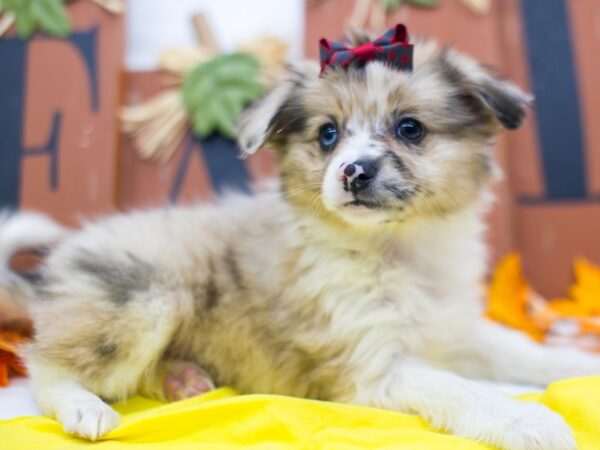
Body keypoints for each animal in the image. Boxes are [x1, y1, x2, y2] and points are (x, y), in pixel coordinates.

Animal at [2, 33, 596, 448]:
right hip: (143, 299)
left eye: (410, 128)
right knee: (44, 365)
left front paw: (578, 364)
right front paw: (529, 418)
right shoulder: (374, 368)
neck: (399, 250)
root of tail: (51, 277)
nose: (352, 172)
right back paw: (85, 408)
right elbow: (461, 388)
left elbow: (522, 347)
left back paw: (182, 381)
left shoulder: (456, 329)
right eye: (327, 135)